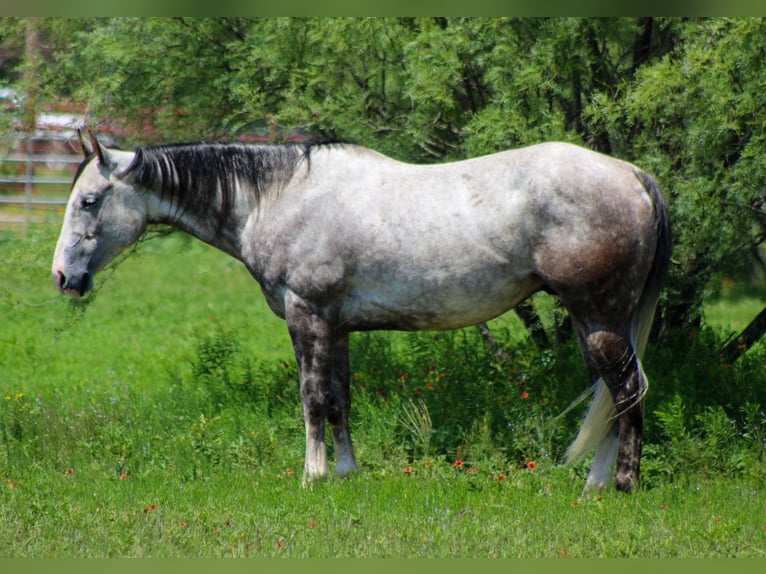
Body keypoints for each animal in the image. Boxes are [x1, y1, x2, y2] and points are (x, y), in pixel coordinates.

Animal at [52, 131, 670, 493]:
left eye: (90, 201)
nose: (63, 277)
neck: (280, 198)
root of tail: (633, 175)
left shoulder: (306, 317)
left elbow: (311, 397)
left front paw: (313, 475)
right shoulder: (337, 327)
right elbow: (338, 401)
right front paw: (346, 473)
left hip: (598, 319)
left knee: (626, 391)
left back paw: (619, 485)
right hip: (601, 323)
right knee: (614, 396)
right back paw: (596, 483)